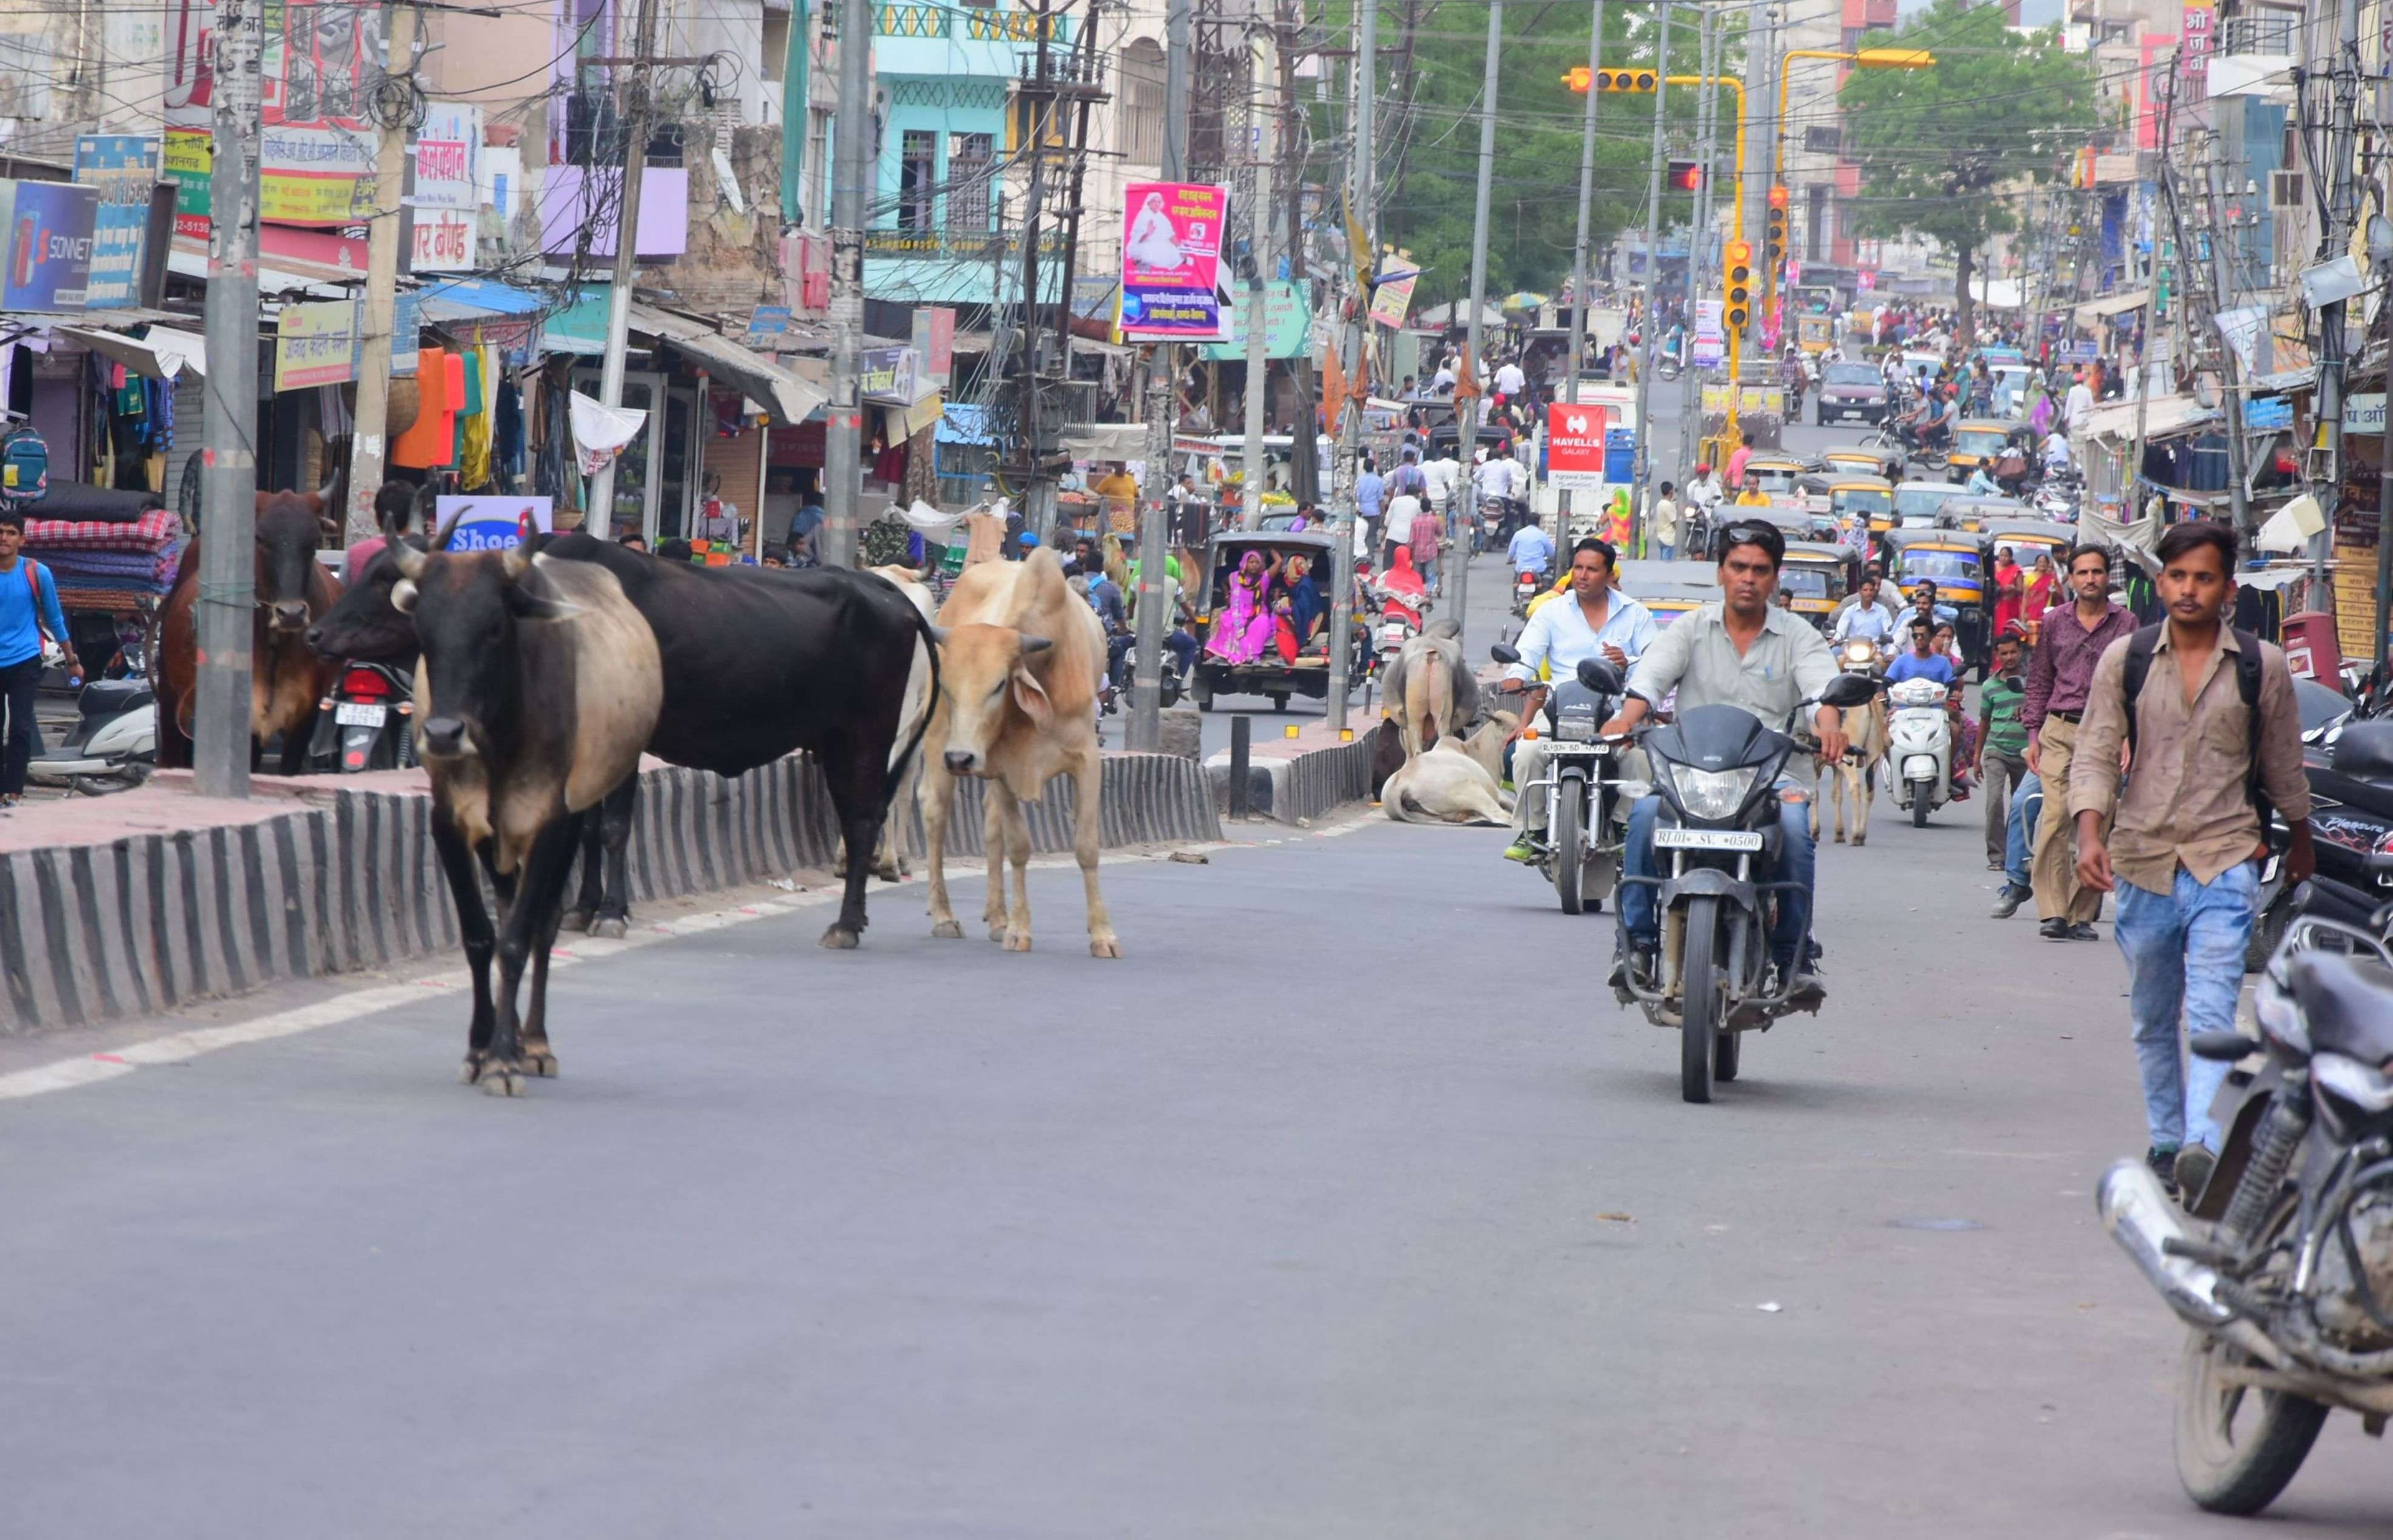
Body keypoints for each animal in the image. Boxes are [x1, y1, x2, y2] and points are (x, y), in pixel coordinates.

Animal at [914, 548, 1120, 958]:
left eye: (999, 686)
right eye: (948, 687)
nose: (961, 759)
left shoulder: (1087, 761)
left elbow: (1087, 847)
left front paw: (1103, 935)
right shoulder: (1003, 769)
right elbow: (1020, 848)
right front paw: (1020, 931)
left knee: (991, 827)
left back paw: (997, 917)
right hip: (940, 744)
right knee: (935, 813)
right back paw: (944, 916)